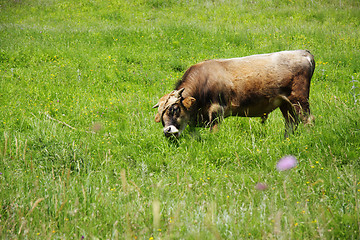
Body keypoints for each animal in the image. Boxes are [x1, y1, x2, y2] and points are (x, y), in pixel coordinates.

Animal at [153, 49, 316, 138]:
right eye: (161, 115)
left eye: (174, 109)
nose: (167, 131)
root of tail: (304, 53)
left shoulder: (216, 111)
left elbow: (214, 132)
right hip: (285, 103)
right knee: (291, 122)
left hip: (299, 99)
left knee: (308, 120)